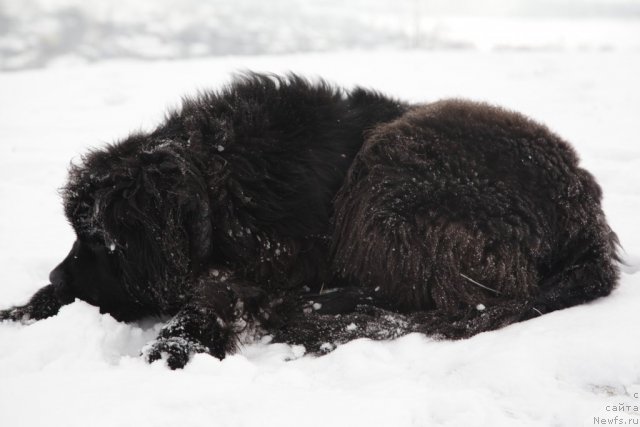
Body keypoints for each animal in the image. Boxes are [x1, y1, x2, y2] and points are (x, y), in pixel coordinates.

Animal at [1, 72, 620, 368]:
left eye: (98, 239)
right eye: (79, 234)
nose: (57, 274)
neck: (217, 181)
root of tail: (586, 212)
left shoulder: (265, 267)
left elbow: (214, 297)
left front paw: (170, 349)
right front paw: (24, 309)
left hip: (393, 162)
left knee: (468, 298)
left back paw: (328, 309)